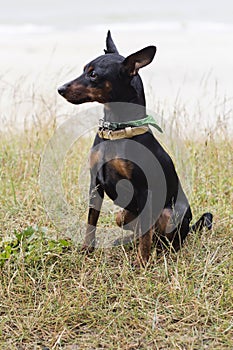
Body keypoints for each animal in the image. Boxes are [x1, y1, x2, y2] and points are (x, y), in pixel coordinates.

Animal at [57, 31, 213, 266]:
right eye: (84, 69)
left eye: (93, 75)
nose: (60, 89)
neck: (116, 132)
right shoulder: (95, 184)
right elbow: (92, 220)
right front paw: (86, 250)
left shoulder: (143, 189)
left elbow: (144, 231)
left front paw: (142, 262)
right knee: (128, 222)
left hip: (171, 213)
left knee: (167, 240)